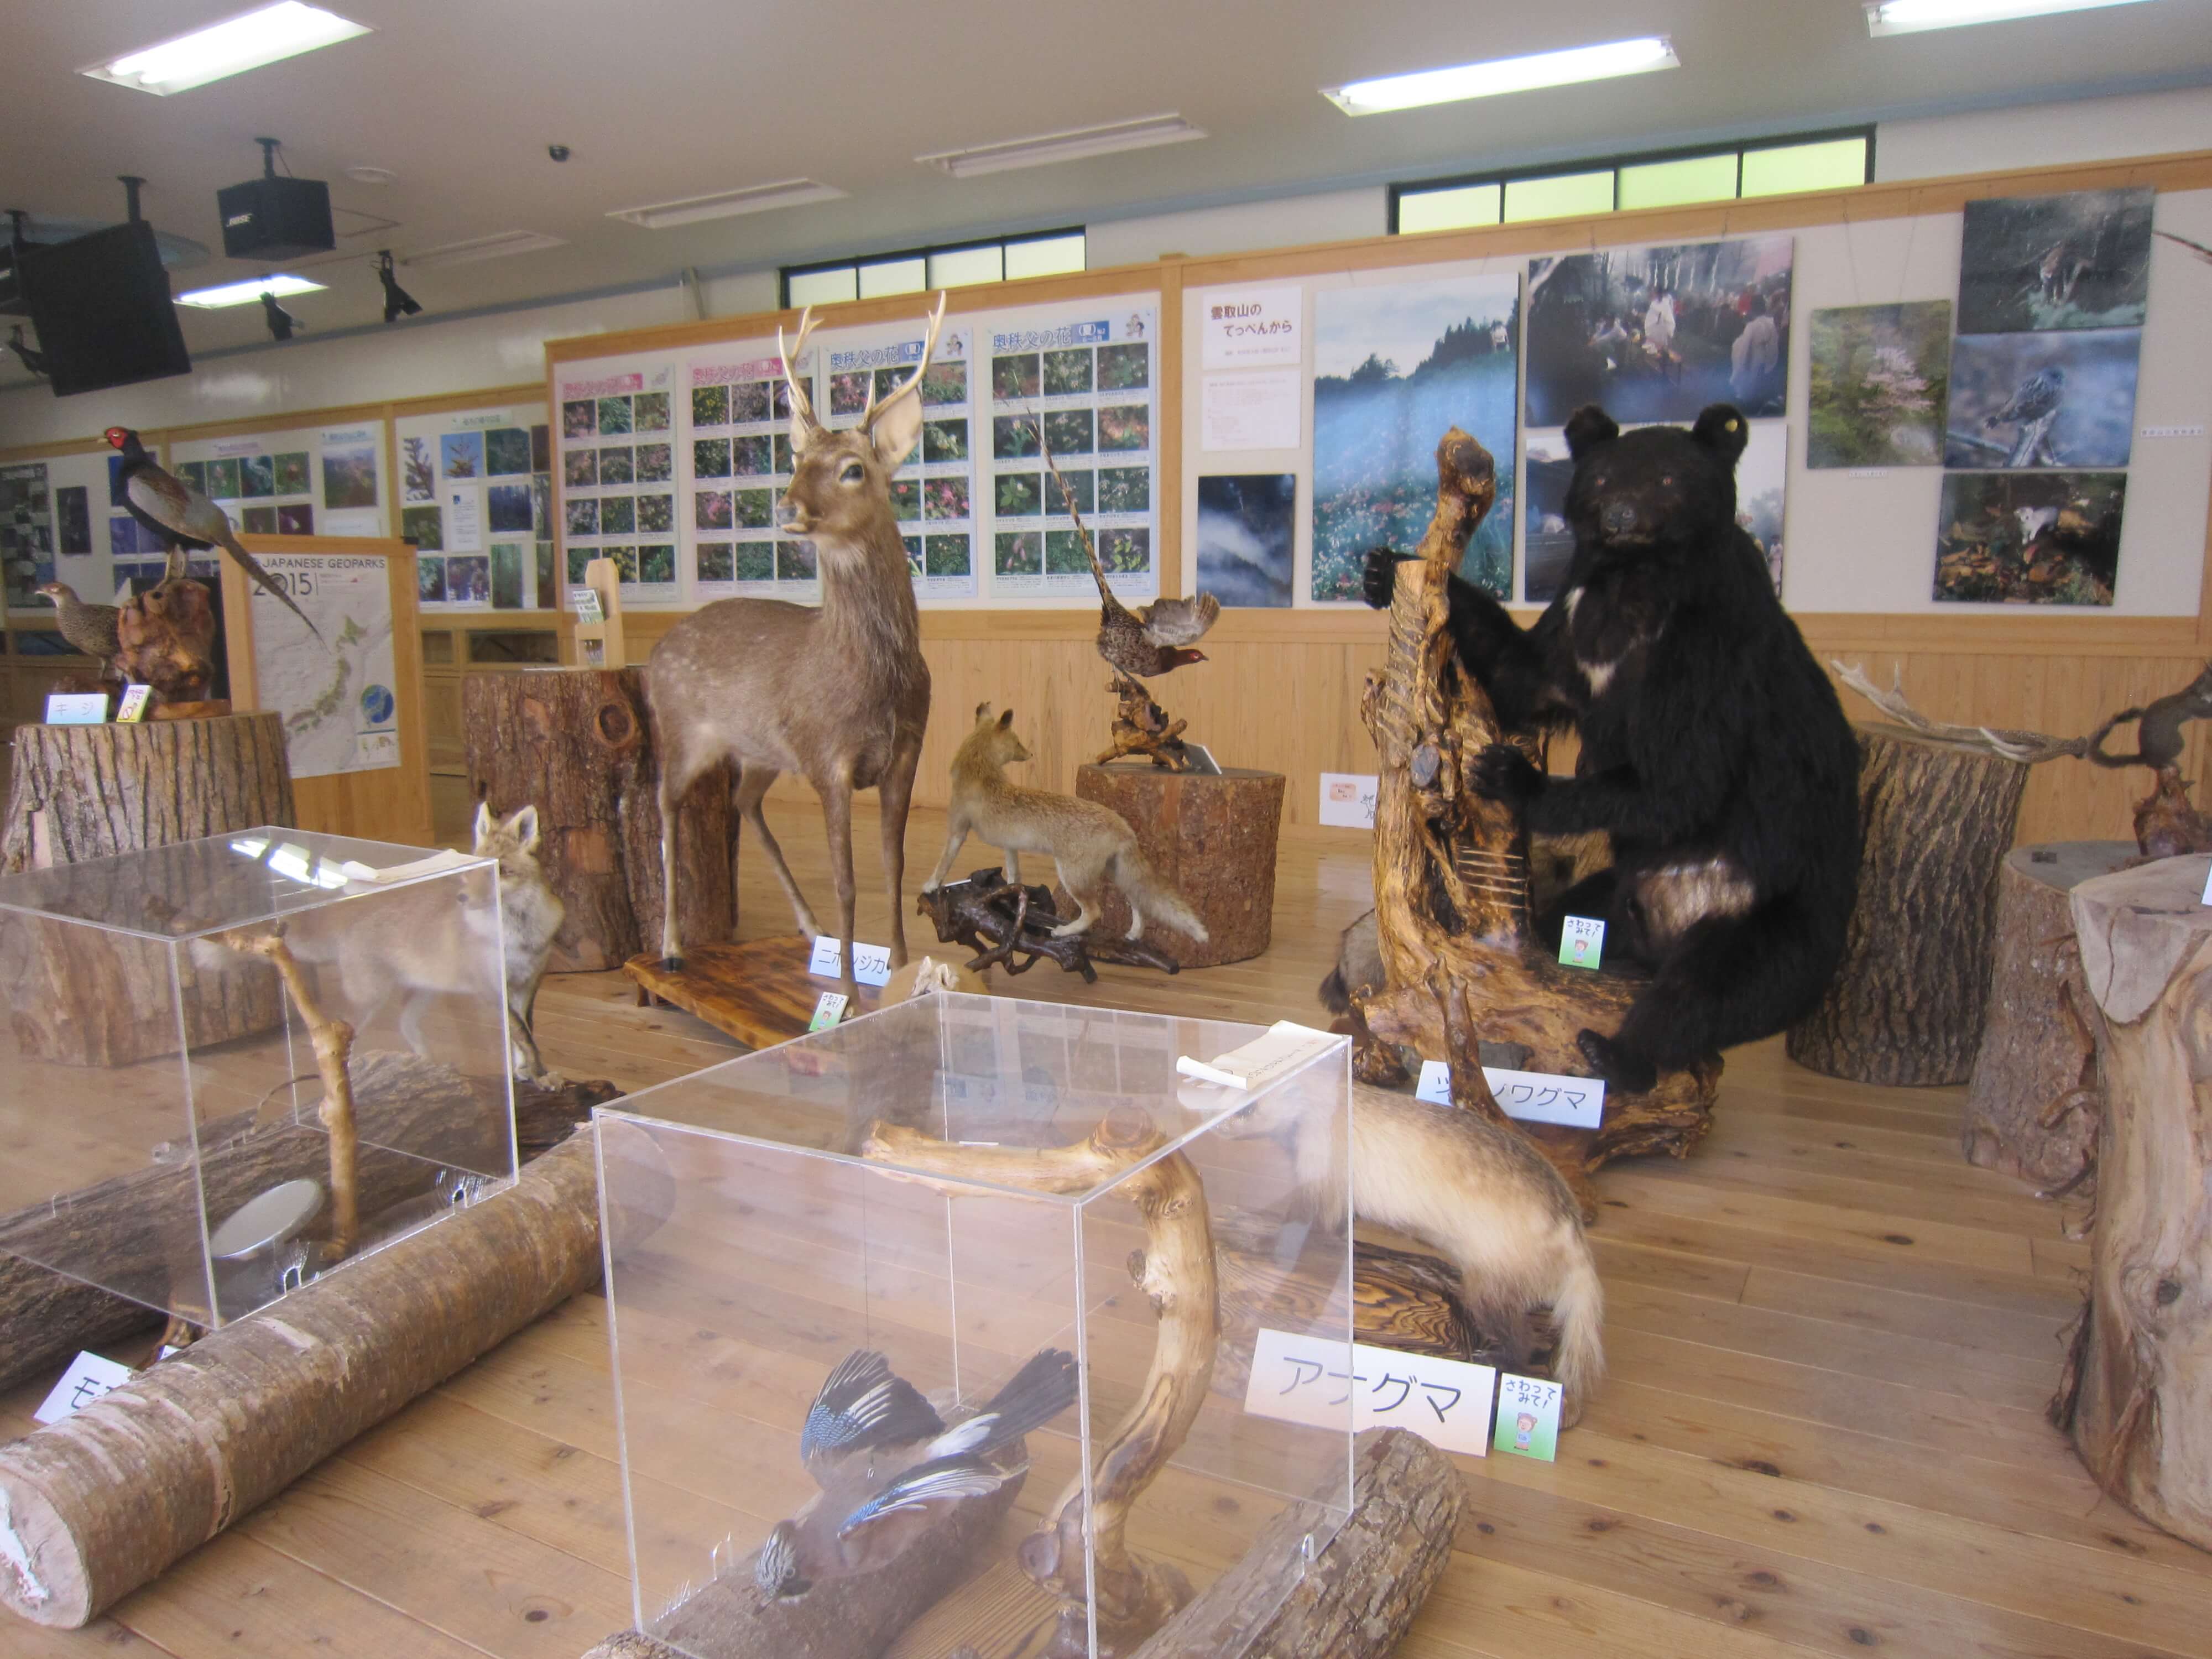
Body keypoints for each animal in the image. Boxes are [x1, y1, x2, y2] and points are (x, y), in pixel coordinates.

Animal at [646, 296, 942, 1000]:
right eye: (796, 460)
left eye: (853, 469)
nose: (786, 507)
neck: (877, 681)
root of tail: (654, 653)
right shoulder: (826, 754)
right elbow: (848, 879)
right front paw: (854, 998)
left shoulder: (905, 752)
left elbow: (892, 865)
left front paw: (899, 969)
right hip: (682, 730)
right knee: (663, 803)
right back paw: (671, 948)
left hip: (759, 751)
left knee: (742, 802)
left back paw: (809, 927)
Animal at [920, 703, 1212, 947]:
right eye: (1018, 742)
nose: (1030, 752)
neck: (980, 771)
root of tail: (1121, 823)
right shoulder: (1009, 845)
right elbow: (1014, 874)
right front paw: (1012, 895)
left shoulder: (957, 830)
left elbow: (943, 864)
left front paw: (931, 885)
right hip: (1115, 874)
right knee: (1139, 903)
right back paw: (1134, 934)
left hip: (1072, 877)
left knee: (1095, 911)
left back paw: (1065, 932)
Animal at [1363, 403, 1849, 1097]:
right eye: (1601, 479)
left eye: (1668, 480)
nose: (1621, 519)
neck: (1632, 584)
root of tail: (1659, 939)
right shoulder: (1576, 626)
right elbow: (1521, 674)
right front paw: (1386, 567)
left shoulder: (1711, 647)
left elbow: (1684, 779)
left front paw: (1510, 775)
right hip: (1614, 897)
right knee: (1568, 921)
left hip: (1773, 914)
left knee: (1710, 988)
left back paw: (1614, 1054)